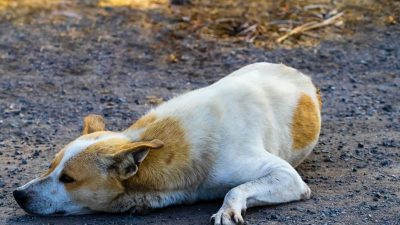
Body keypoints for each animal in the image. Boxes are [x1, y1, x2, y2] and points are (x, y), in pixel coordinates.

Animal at [13, 62, 322, 224]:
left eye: (68, 178)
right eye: (50, 166)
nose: (18, 194)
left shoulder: (287, 178)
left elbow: (235, 190)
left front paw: (227, 210)